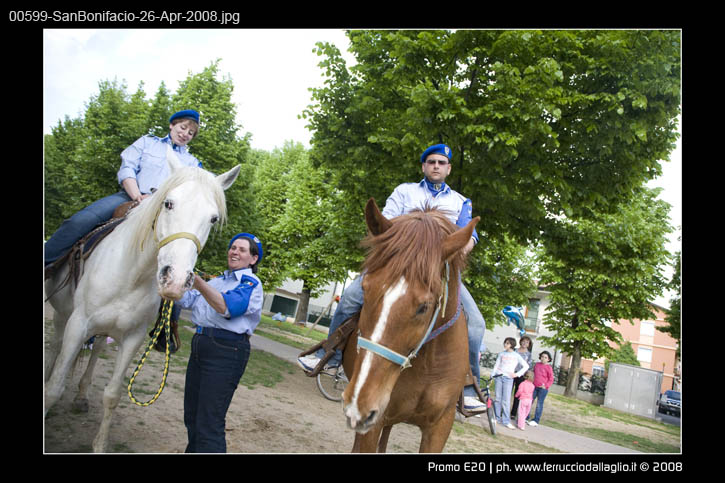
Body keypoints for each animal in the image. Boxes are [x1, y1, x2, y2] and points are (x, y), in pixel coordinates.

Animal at [44, 147, 240, 454]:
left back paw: (82, 396)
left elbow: (112, 395)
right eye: (168, 203)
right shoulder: (78, 324)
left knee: (97, 349)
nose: (176, 279)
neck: (131, 274)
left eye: (213, 218)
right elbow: (54, 387)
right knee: (55, 347)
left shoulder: (132, 338)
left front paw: (99, 445)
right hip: (63, 316)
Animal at [340, 198, 478, 454]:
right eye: (365, 288)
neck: (428, 364)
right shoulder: (374, 422)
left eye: (424, 306)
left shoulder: (440, 426)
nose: (359, 403)